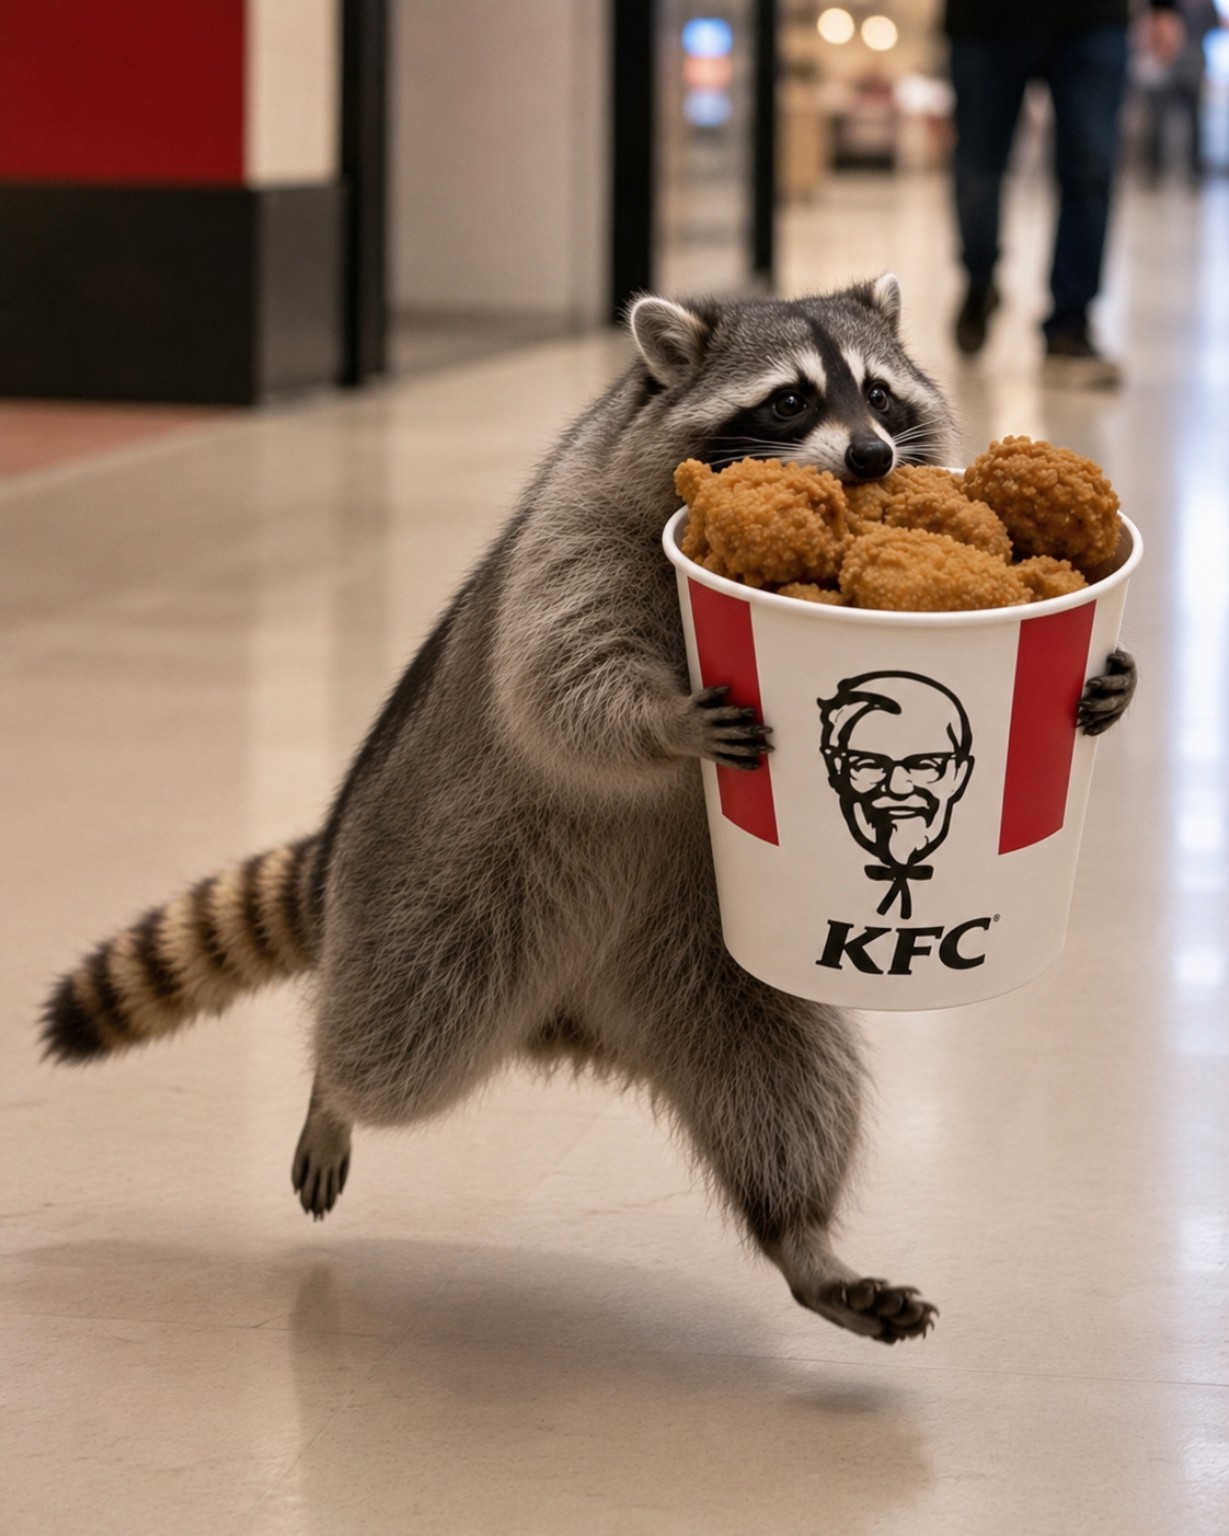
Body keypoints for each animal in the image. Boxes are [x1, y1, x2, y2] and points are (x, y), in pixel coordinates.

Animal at [41, 277, 1136, 1344]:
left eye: (878, 393)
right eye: (789, 401)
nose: (868, 455)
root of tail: (571, 1020)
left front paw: (1107, 679)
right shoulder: (580, 527)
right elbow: (560, 679)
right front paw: (661, 723)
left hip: (699, 963)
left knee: (779, 1079)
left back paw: (801, 1240)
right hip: (435, 889)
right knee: (400, 1036)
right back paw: (331, 1090)